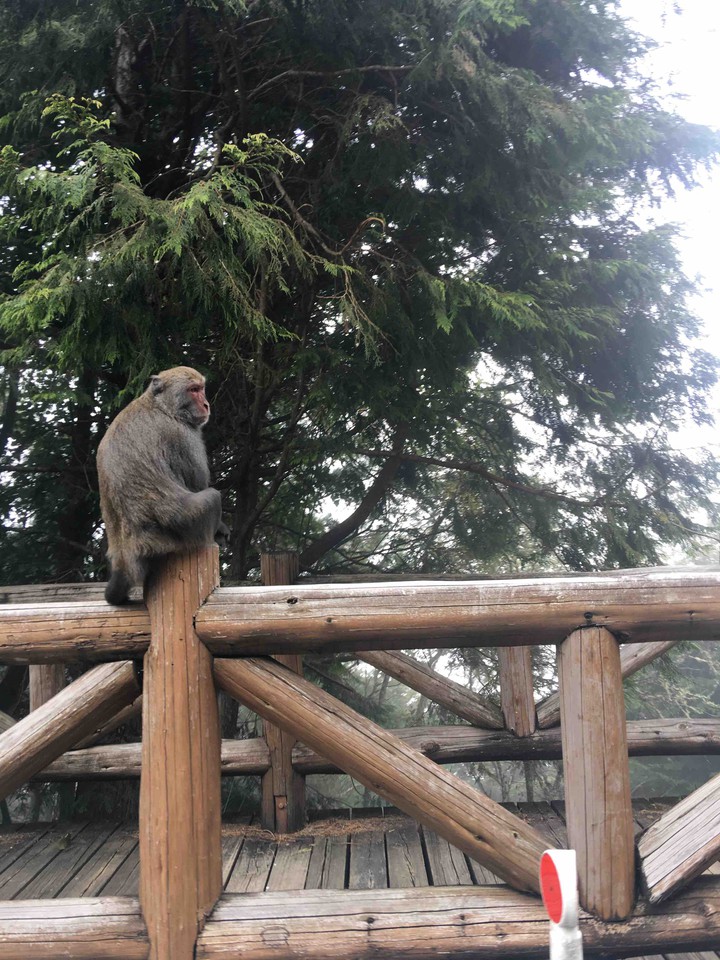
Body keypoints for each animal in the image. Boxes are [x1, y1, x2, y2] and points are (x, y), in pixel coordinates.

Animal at [97, 366, 230, 605]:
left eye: (202, 388)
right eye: (193, 390)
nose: (206, 404)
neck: (161, 406)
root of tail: (126, 558)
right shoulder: (184, 436)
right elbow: (197, 483)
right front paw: (222, 528)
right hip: (186, 528)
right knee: (213, 497)